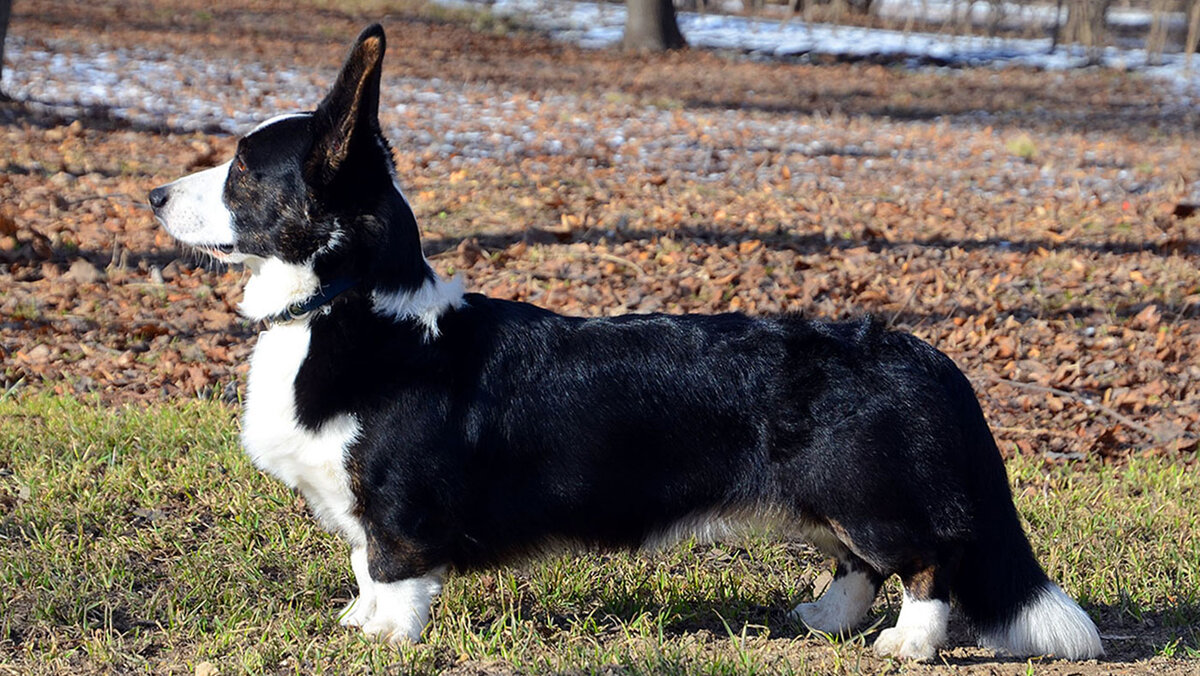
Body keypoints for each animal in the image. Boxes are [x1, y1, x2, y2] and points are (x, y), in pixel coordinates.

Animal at [152, 25, 1104, 662]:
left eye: (243, 170)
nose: (155, 195)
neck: (348, 306)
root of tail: (919, 353)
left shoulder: (396, 509)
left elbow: (390, 572)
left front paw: (385, 638)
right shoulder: (358, 509)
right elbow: (358, 566)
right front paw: (356, 622)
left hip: (866, 496)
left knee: (927, 563)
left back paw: (907, 644)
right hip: (828, 501)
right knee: (857, 567)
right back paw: (819, 619)